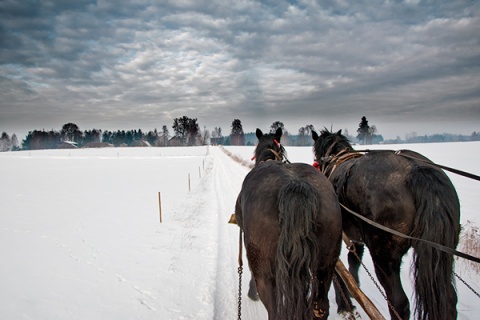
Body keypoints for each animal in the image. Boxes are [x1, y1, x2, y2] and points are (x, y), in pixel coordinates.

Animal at [235, 129, 342, 318]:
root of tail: (296, 185)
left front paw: (251, 292)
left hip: (265, 272)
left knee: (274, 310)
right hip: (326, 266)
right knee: (320, 306)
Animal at [312, 129, 462, 320]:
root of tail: (417, 170)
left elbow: (341, 271)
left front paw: (344, 303)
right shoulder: (356, 238)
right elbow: (353, 262)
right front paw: (351, 294)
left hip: (384, 253)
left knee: (399, 302)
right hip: (442, 249)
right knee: (449, 298)